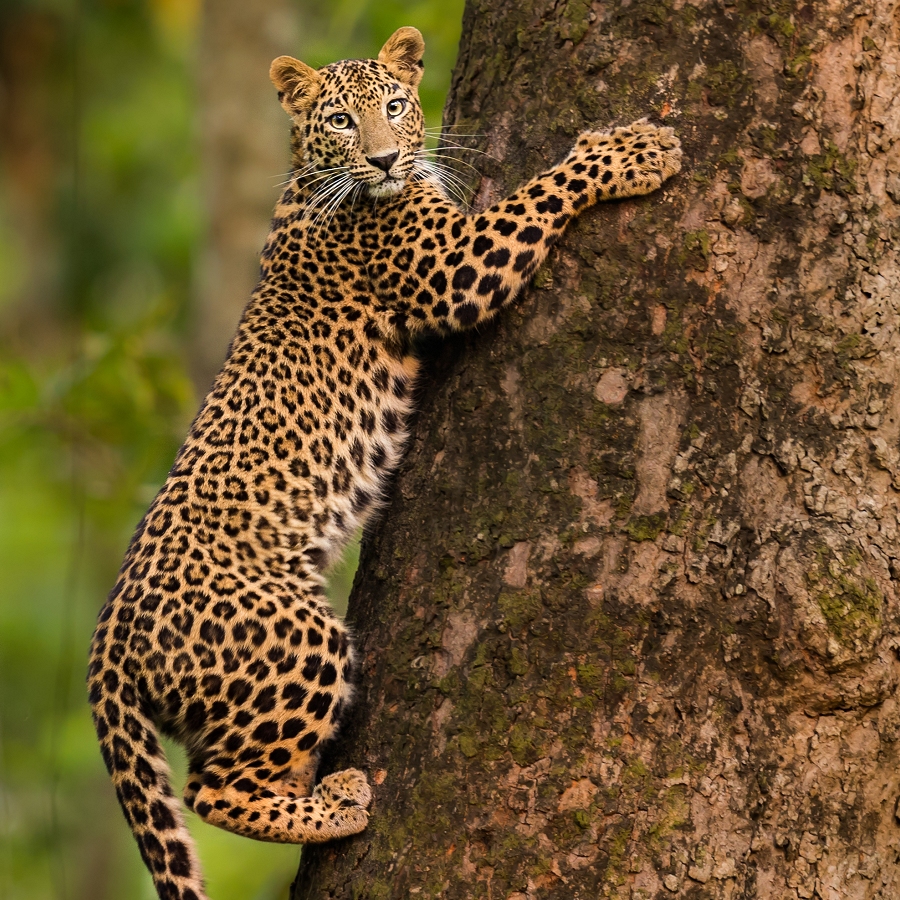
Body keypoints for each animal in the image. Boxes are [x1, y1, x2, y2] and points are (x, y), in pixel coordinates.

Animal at [87, 25, 682, 900]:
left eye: (396, 106)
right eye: (340, 120)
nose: (383, 159)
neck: (314, 175)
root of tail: (108, 640)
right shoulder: (457, 265)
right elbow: (545, 189)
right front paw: (633, 149)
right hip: (298, 642)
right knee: (214, 790)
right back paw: (338, 803)